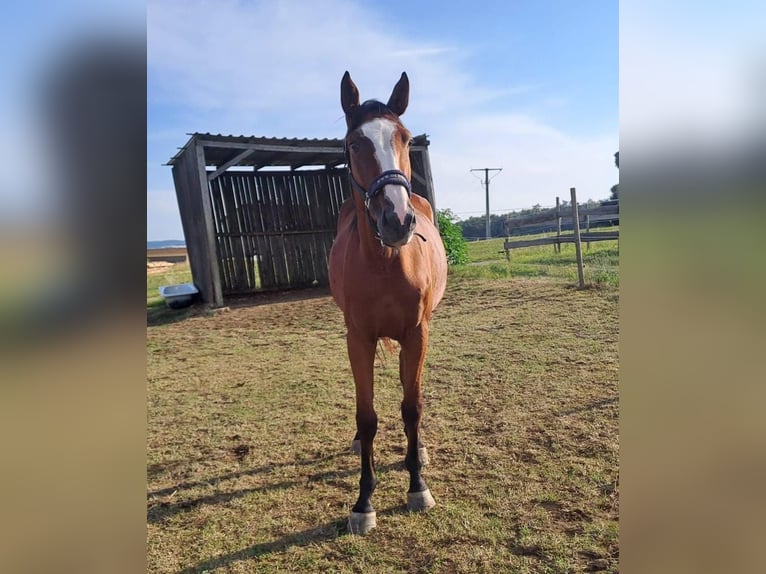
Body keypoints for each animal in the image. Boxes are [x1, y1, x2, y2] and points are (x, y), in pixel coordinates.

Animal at [328, 71, 448, 534]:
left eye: (405, 137)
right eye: (353, 144)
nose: (398, 219)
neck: (384, 263)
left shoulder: (417, 334)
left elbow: (412, 407)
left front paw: (417, 486)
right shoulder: (357, 339)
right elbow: (367, 416)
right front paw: (363, 502)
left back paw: (421, 451)